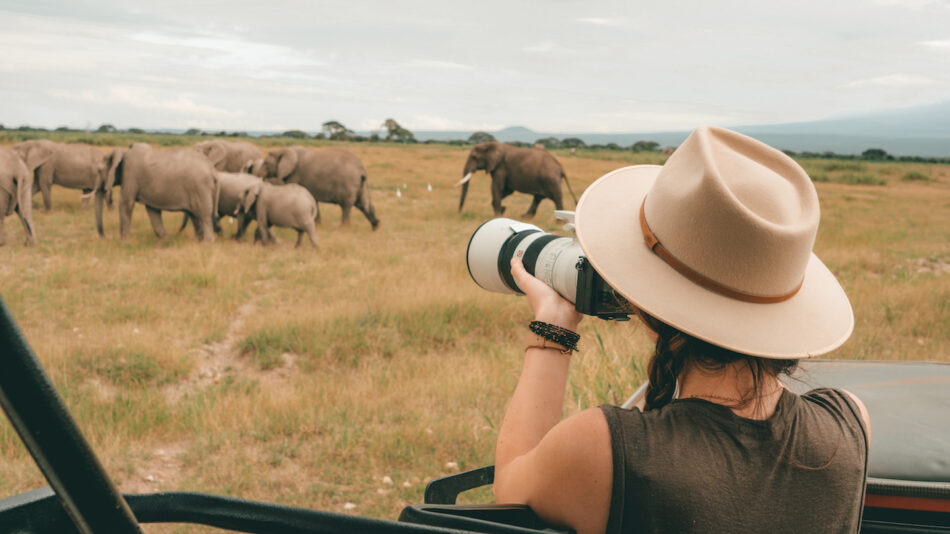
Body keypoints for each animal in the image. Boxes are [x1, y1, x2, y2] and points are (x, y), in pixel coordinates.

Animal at [251, 147, 382, 230]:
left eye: (266, 163)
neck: (285, 149)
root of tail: (362, 170)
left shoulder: (295, 176)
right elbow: (313, 199)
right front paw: (318, 226)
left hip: (348, 183)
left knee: (346, 206)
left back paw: (343, 229)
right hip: (359, 184)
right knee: (362, 204)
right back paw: (375, 226)